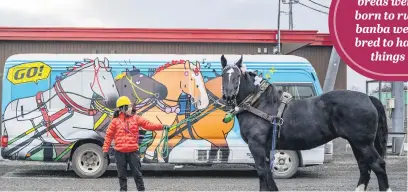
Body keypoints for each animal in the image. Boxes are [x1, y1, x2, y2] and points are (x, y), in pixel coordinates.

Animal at [222, 54, 390, 191]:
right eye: (223, 75)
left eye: (237, 76)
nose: (228, 97)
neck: (261, 104)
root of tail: (368, 97)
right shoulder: (266, 147)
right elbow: (268, 172)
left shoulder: (256, 145)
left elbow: (262, 171)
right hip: (357, 144)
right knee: (364, 167)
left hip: (363, 143)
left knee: (378, 165)